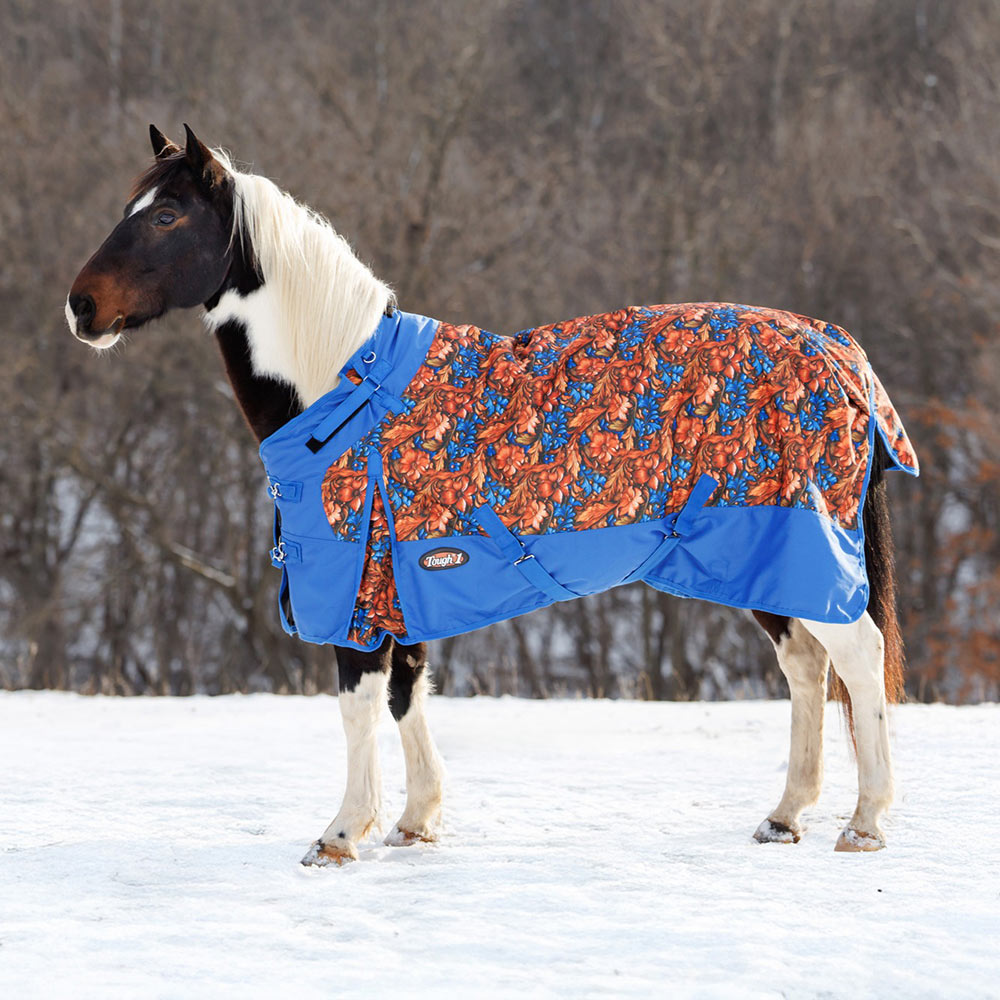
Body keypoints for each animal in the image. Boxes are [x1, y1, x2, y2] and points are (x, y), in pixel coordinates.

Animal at [67, 124, 917, 865]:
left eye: (168, 215)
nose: (81, 306)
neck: (345, 390)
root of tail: (834, 349)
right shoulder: (398, 585)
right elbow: (407, 693)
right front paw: (415, 822)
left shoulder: (353, 590)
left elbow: (357, 705)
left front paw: (341, 834)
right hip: (766, 559)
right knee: (806, 665)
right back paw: (786, 815)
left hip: (800, 546)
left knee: (858, 656)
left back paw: (865, 823)